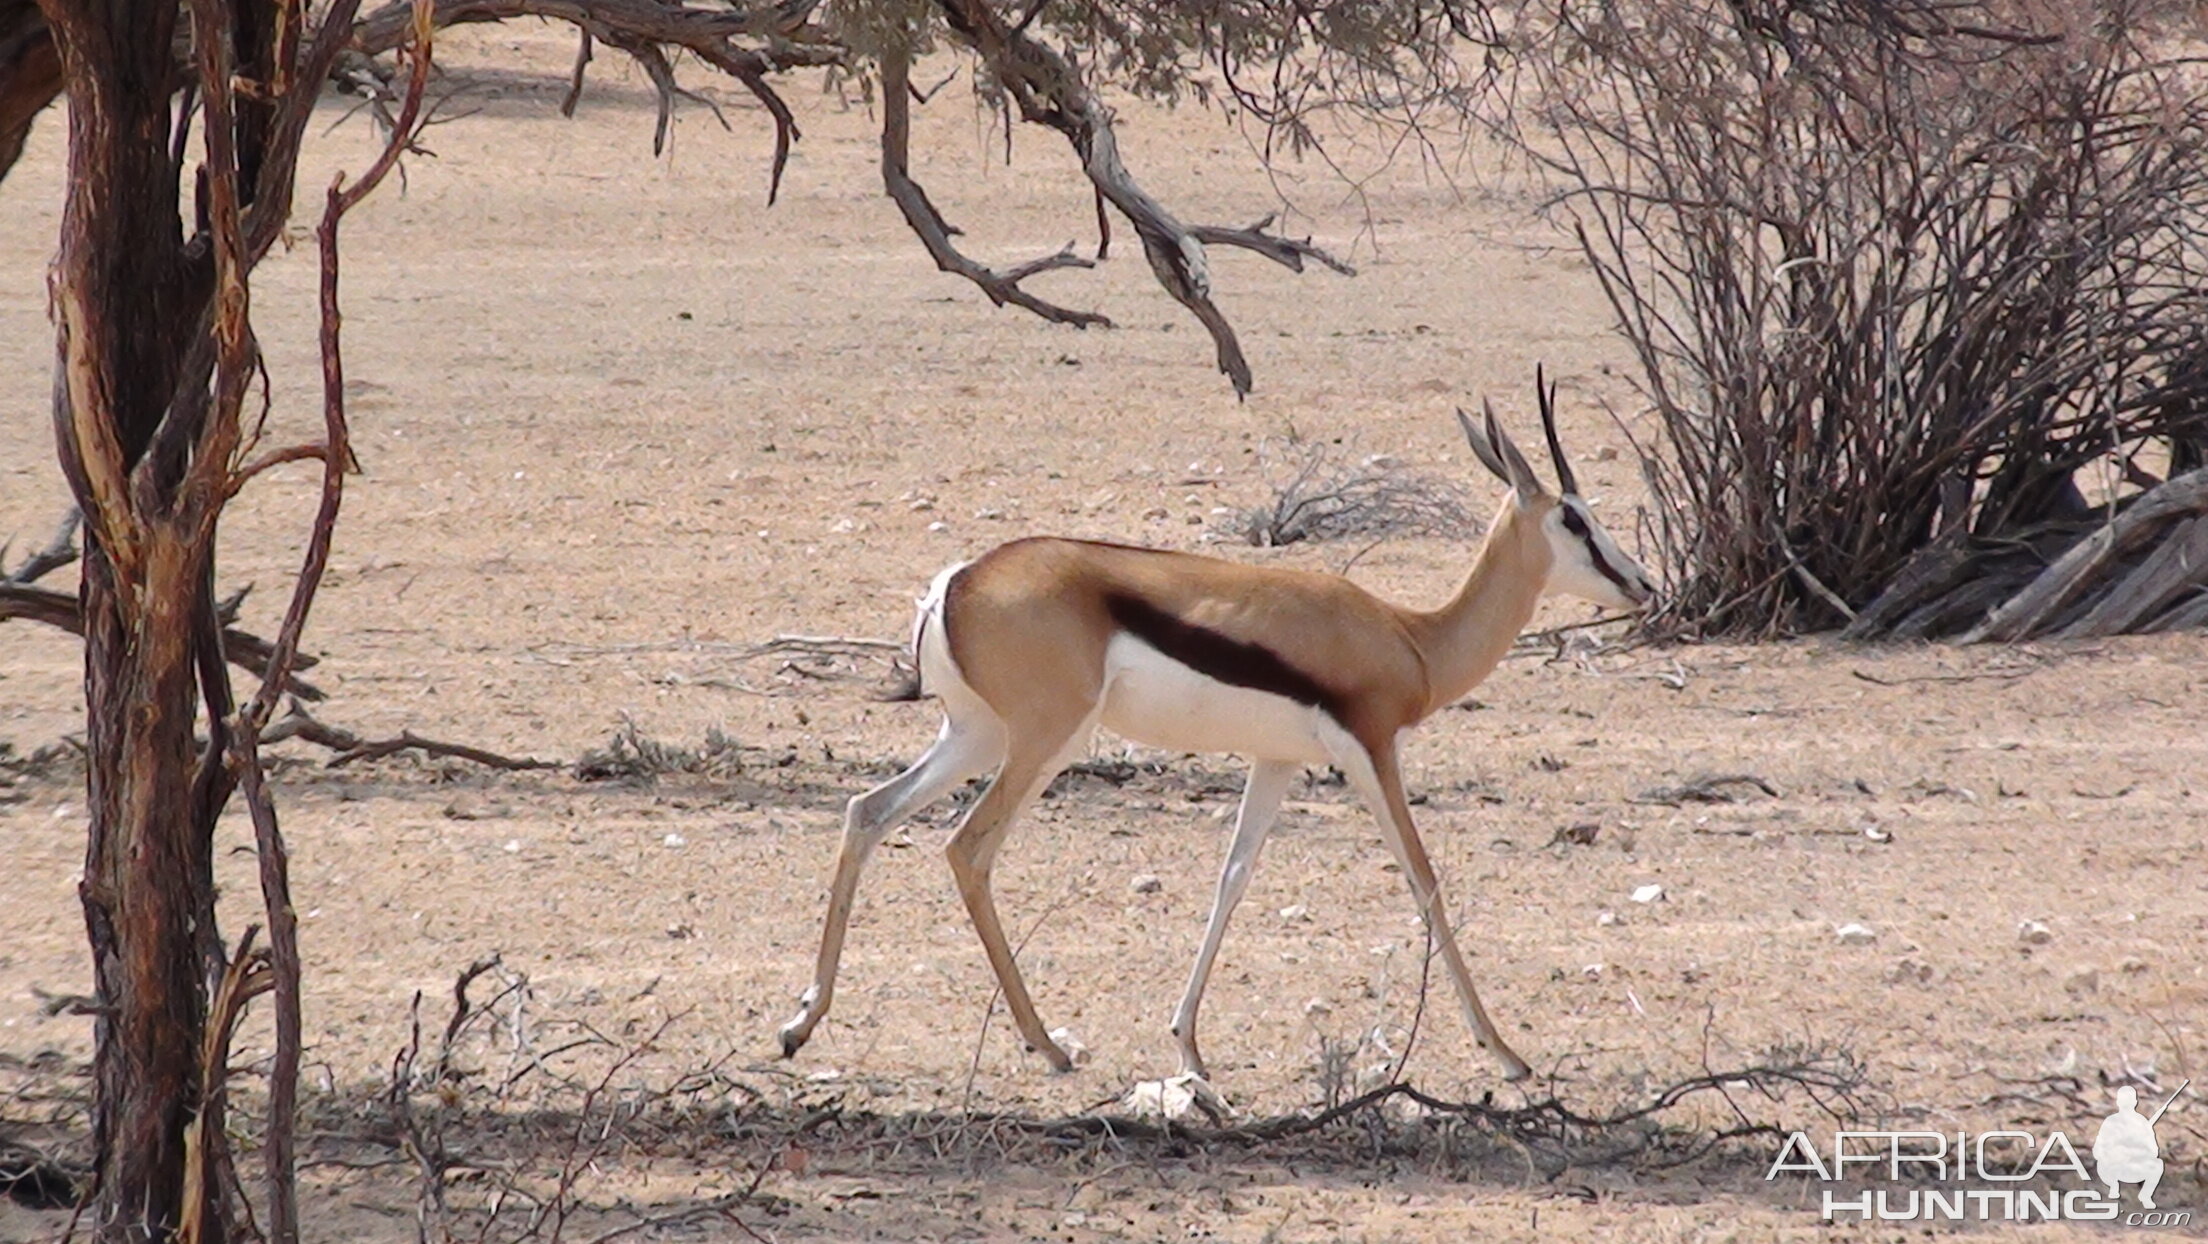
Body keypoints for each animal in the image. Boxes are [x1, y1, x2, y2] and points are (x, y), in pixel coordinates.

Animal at [777, 377, 1660, 1082]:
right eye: (1575, 518)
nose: (1643, 583)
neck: (1412, 638)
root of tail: (958, 581)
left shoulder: (1277, 762)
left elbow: (1232, 881)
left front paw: (1189, 1047)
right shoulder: (1371, 751)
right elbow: (1425, 880)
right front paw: (1507, 1053)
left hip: (976, 737)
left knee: (867, 812)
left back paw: (801, 1024)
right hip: (1043, 742)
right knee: (968, 849)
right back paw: (1048, 1045)